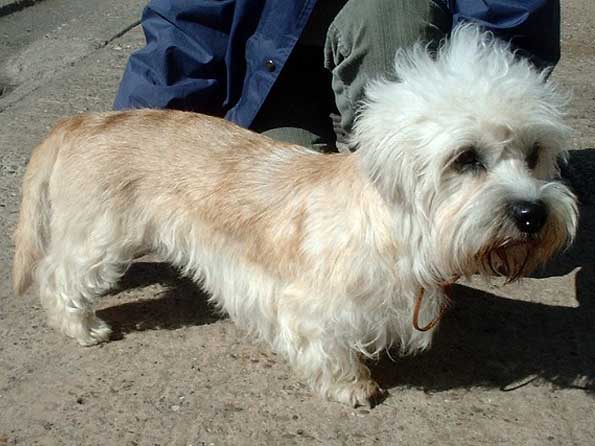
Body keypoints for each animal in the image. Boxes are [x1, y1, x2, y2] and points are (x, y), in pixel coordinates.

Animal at [14, 25, 580, 408]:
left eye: (534, 154)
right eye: (465, 158)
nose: (531, 214)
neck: (394, 231)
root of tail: (81, 121)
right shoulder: (309, 309)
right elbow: (331, 352)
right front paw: (354, 388)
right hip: (98, 241)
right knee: (57, 276)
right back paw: (83, 328)